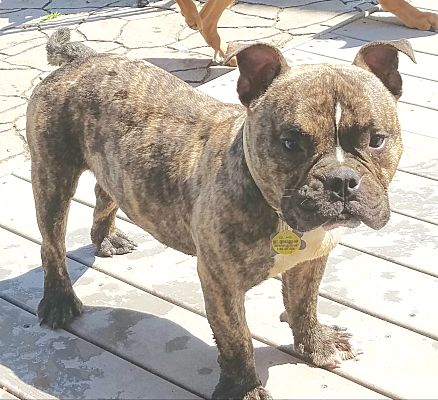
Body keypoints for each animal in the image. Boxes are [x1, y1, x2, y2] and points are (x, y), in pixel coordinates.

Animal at [26, 29, 414, 398]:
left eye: (376, 140)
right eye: (290, 143)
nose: (341, 180)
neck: (280, 214)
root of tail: (83, 59)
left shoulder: (311, 262)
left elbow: (304, 304)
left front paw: (316, 344)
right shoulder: (220, 282)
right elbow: (237, 339)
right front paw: (244, 388)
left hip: (111, 165)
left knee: (105, 191)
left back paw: (107, 238)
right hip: (52, 176)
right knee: (51, 243)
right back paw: (59, 300)